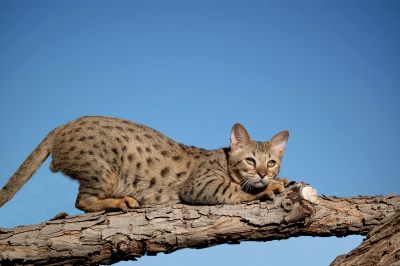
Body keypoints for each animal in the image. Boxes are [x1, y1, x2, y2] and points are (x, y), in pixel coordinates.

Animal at [0, 116, 290, 212]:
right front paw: (267, 188)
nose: (263, 173)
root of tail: (60, 127)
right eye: (250, 161)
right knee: (82, 202)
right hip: (104, 172)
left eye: (271, 162)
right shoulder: (199, 186)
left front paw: (279, 180)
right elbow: (237, 190)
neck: (225, 158)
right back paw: (119, 202)